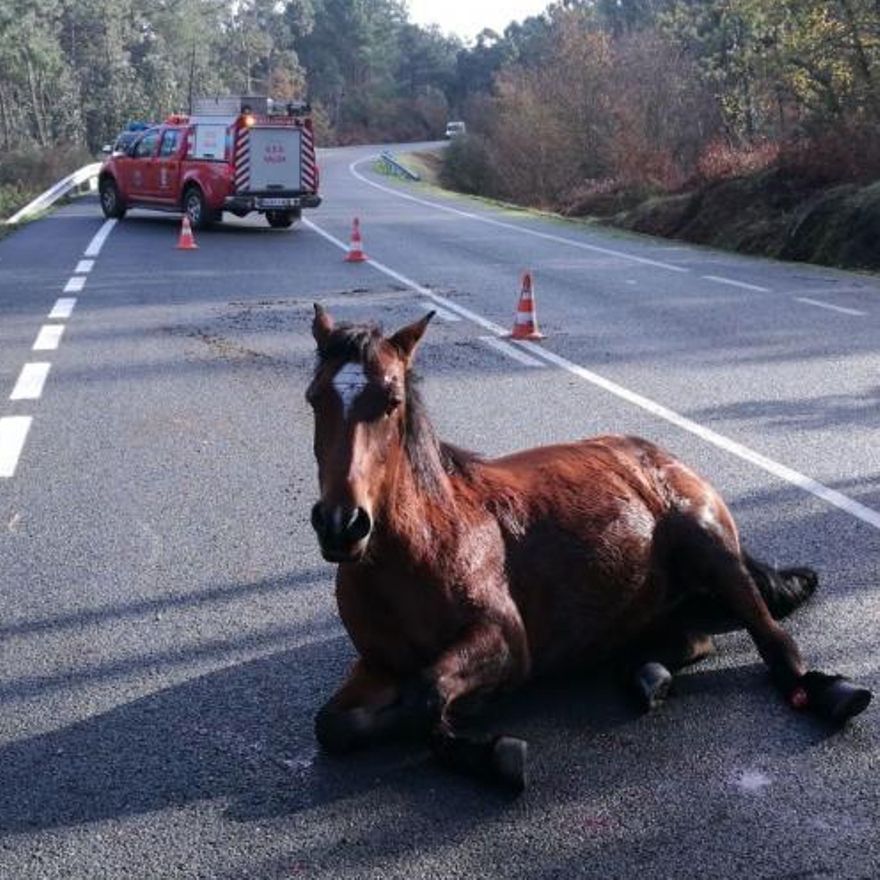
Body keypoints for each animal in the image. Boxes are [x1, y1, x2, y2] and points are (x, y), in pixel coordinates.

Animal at [306, 306, 868, 796]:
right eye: (314, 398)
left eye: (392, 400)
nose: (342, 525)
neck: (426, 545)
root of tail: (653, 452)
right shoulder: (378, 663)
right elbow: (334, 725)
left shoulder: (505, 643)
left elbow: (426, 695)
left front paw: (485, 750)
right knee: (694, 641)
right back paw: (647, 674)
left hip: (710, 547)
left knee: (775, 642)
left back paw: (829, 693)